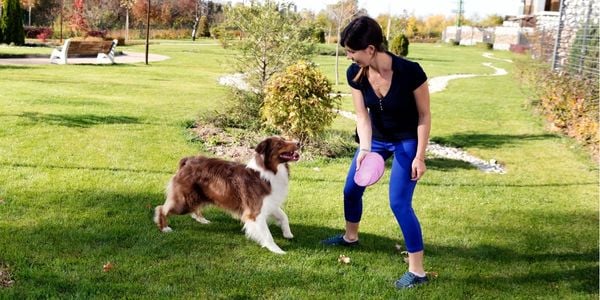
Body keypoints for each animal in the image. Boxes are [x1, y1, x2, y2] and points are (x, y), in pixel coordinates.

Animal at [152, 137, 298, 254]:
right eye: (279, 143)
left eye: (284, 139)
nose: (299, 142)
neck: (269, 172)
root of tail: (187, 161)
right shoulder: (255, 211)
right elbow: (267, 234)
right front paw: (277, 250)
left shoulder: (269, 203)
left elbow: (284, 216)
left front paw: (288, 233)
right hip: (183, 201)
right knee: (161, 208)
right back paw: (164, 228)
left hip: (197, 196)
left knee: (194, 209)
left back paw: (202, 220)